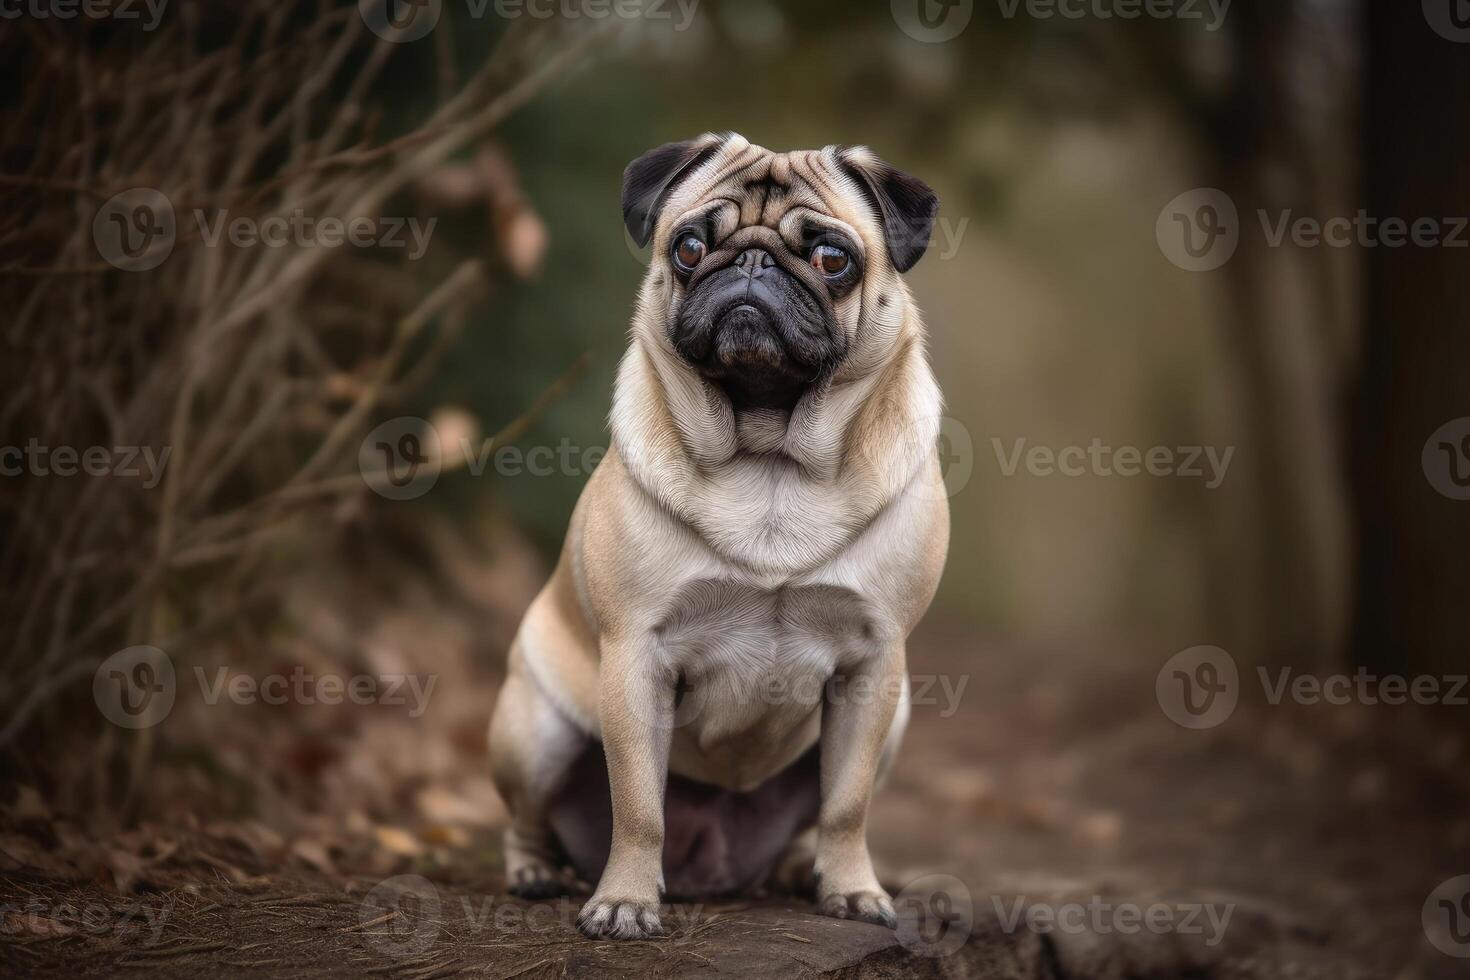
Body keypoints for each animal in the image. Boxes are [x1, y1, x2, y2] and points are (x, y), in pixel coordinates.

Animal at [490, 132, 952, 940]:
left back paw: (804, 871)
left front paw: (853, 890)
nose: (752, 262)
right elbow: (638, 805)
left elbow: (847, 805)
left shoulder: (873, 667)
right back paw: (535, 873)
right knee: (525, 819)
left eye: (832, 259)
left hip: (893, 720)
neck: (770, 459)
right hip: (535, 731)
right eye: (690, 247)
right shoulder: (635, 658)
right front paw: (625, 901)